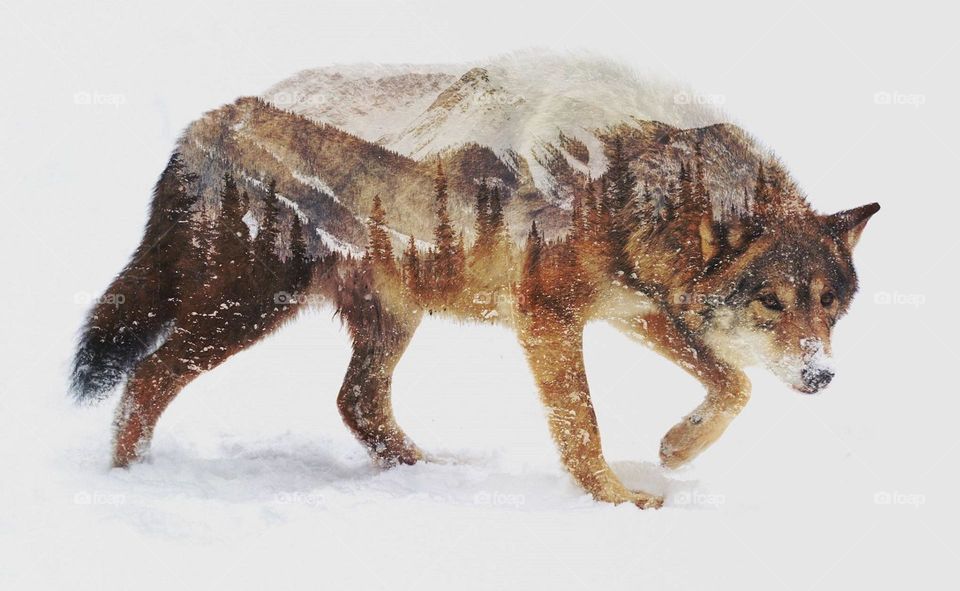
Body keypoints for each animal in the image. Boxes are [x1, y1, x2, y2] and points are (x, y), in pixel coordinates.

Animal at [71, 57, 878, 508]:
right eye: (771, 302)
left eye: (830, 307)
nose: (822, 376)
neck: (627, 180)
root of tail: (206, 123)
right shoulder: (548, 318)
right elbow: (582, 428)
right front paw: (618, 501)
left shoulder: (633, 309)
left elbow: (733, 384)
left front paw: (677, 449)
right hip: (244, 310)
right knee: (146, 377)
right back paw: (133, 481)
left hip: (388, 320)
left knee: (356, 401)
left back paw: (428, 473)